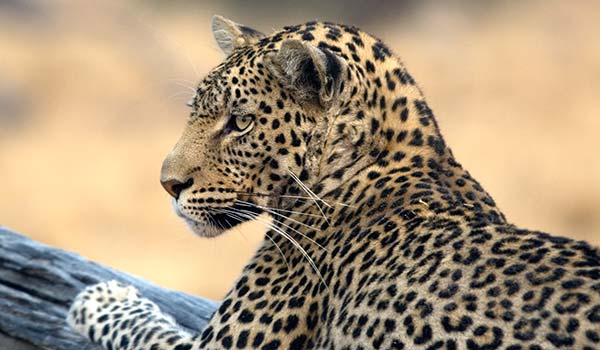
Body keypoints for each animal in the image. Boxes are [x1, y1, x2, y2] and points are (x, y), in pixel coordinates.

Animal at [67, 15, 600, 350]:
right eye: (195, 112)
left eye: (240, 123)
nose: (168, 185)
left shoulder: (222, 345)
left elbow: (147, 330)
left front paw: (106, 296)